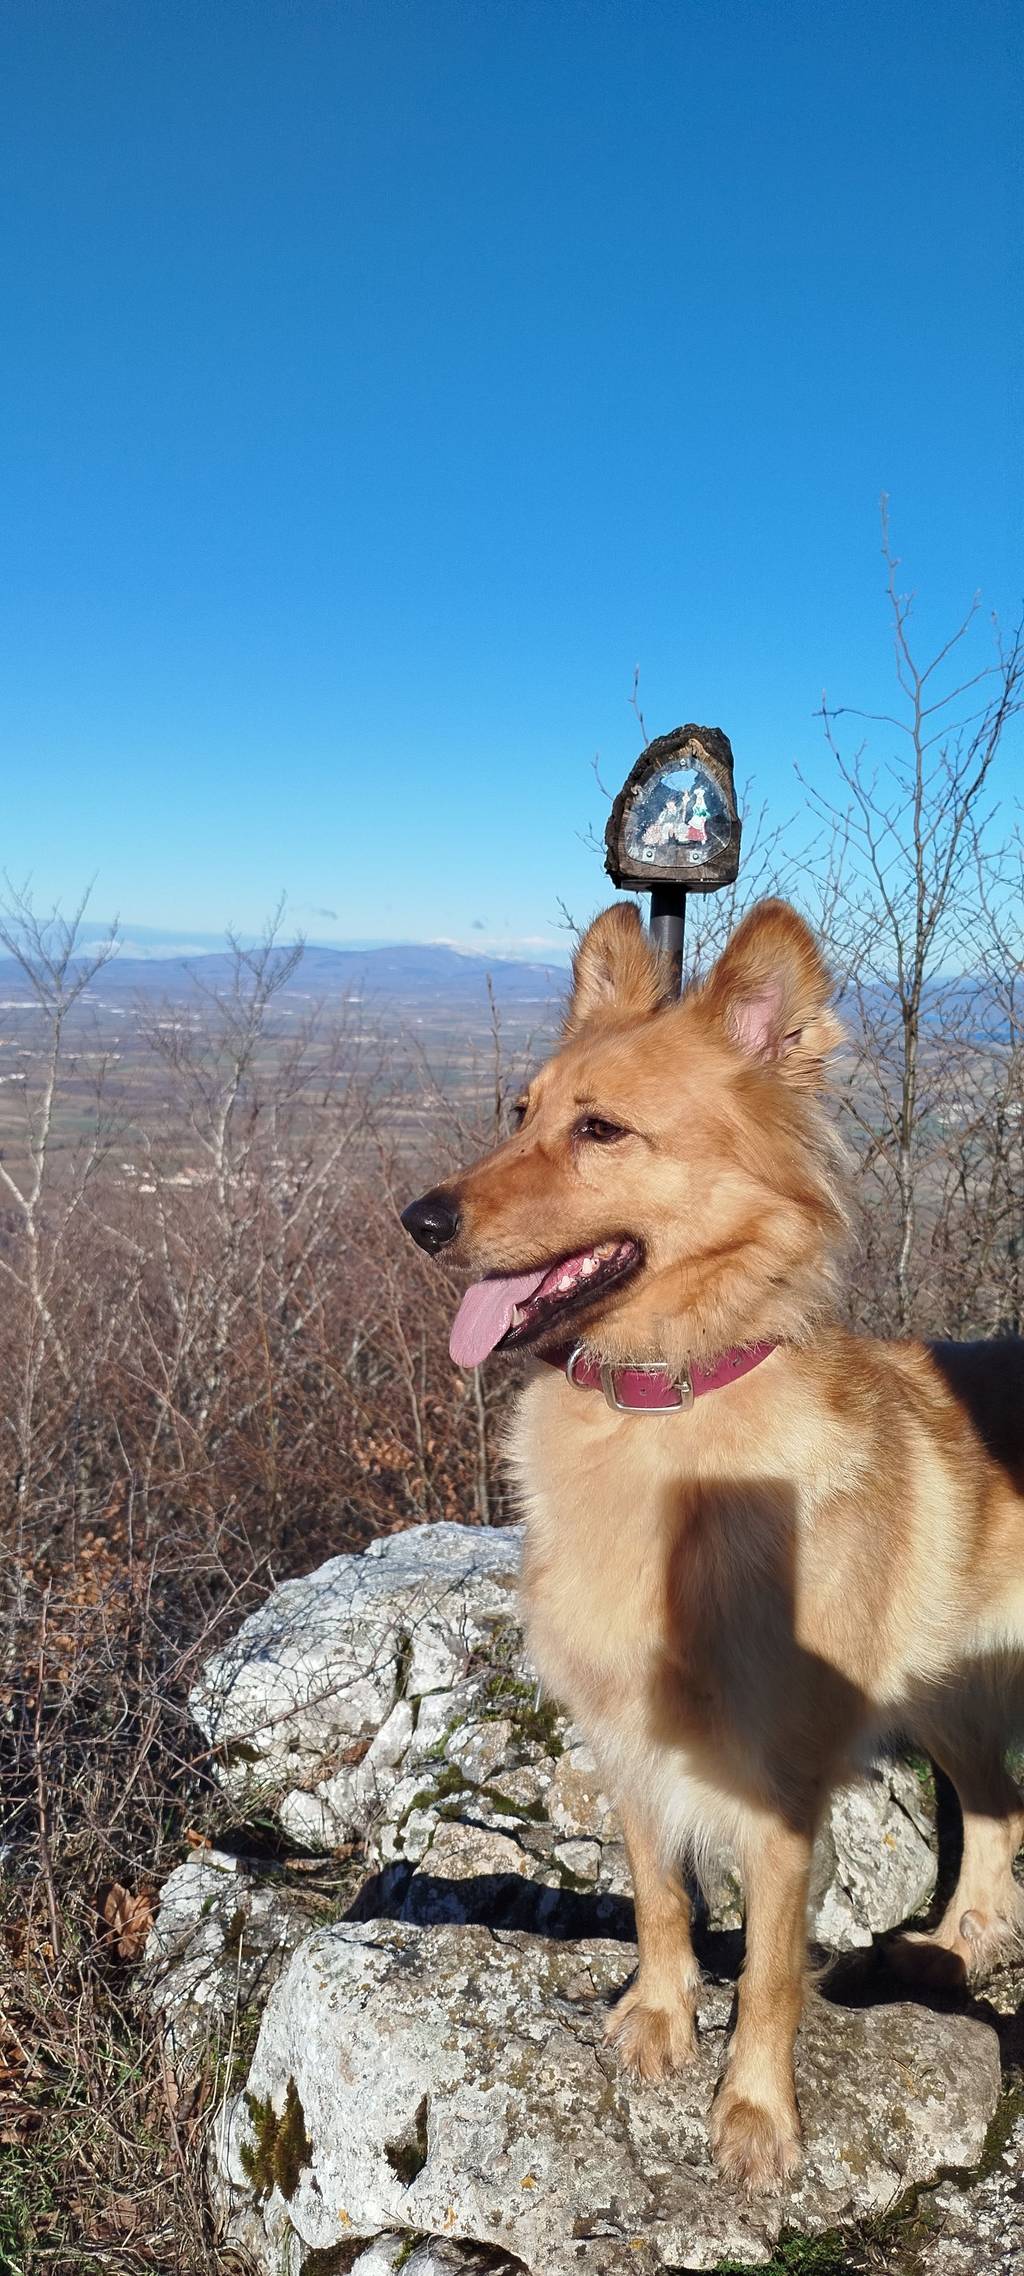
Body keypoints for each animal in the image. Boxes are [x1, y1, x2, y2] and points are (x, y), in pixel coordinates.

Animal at [401, 898, 1024, 2193]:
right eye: (518, 1112)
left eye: (600, 1128)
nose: (417, 1219)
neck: (660, 1400)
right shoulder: (629, 1735)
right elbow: (656, 1896)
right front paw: (660, 2012)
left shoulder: (778, 1781)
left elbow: (776, 1967)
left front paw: (754, 2111)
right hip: (941, 1681)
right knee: (998, 1805)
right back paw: (955, 1942)